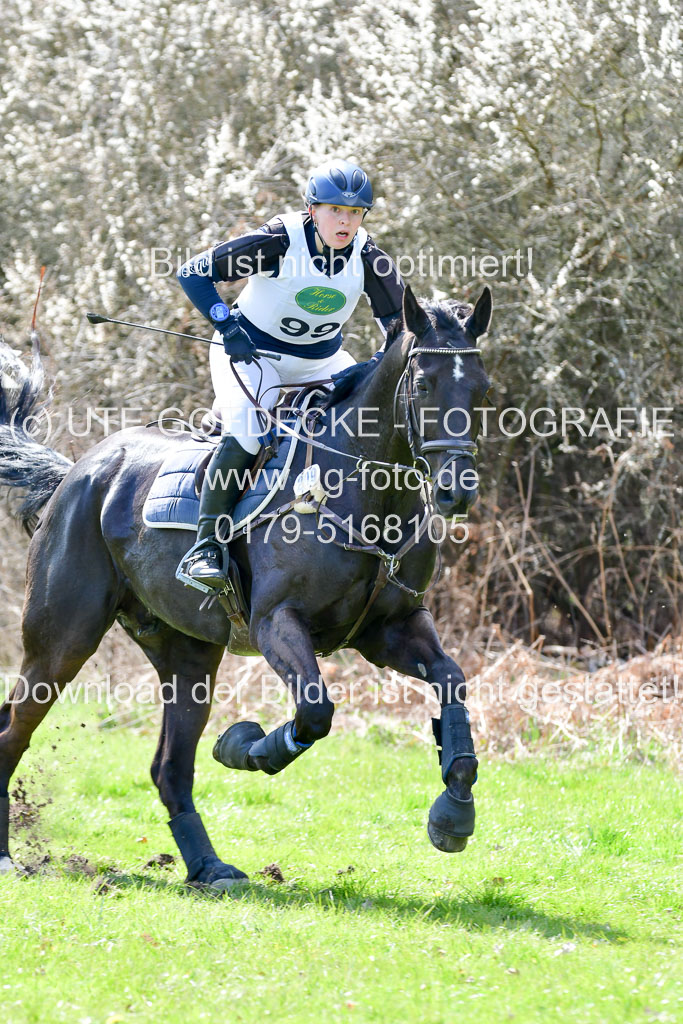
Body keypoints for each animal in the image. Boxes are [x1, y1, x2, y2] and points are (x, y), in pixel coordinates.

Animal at [0, 285, 492, 889]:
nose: (455, 493)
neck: (366, 493)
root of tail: (78, 472)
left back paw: (209, 867)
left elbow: (452, 681)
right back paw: (7, 855)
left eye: (481, 389)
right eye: (423, 385)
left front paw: (455, 808)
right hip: (62, 641)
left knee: (169, 767)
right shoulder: (275, 622)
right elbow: (314, 712)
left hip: (187, 653)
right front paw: (244, 747)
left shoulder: (391, 629)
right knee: (15, 729)